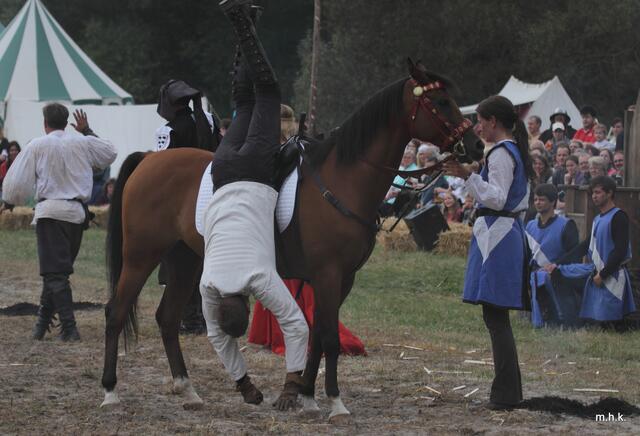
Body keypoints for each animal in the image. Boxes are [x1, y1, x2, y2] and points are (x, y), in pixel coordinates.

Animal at [100, 60, 485, 420]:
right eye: (441, 101)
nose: (477, 145)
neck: (343, 179)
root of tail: (149, 159)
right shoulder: (328, 274)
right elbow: (329, 337)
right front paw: (335, 402)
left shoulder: (342, 278)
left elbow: (318, 335)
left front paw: (307, 395)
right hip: (141, 255)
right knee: (116, 312)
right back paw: (110, 391)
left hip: (184, 260)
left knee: (166, 317)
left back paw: (187, 389)